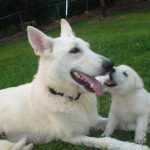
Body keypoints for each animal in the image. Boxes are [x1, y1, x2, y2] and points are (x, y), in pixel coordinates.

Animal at [0, 19, 148, 149]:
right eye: (74, 50)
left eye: (89, 47)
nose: (110, 65)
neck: (68, 97)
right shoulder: (73, 137)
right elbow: (107, 140)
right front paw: (133, 146)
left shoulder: (95, 120)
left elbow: (121, 123)